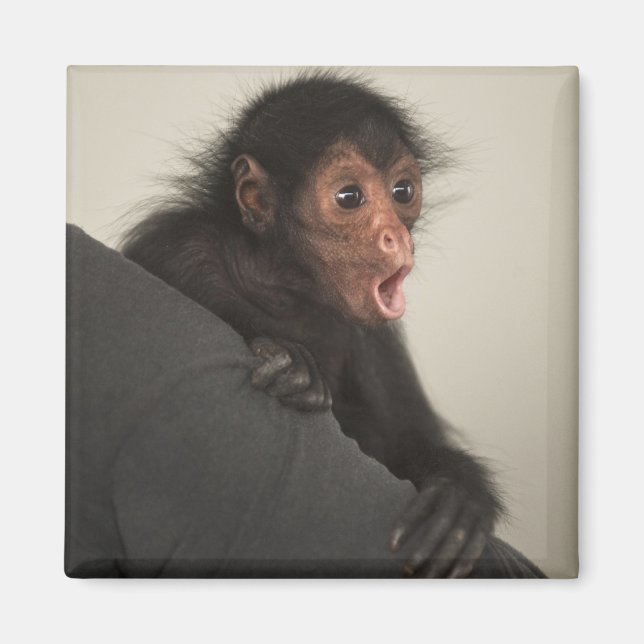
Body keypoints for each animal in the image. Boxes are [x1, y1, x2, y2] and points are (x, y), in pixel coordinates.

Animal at [120, 71, 544, 578]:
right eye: (349, 197)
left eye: (403, 192)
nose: (396, 236)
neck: (282, 289)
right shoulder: (180, 248)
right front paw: (292, 363)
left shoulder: (375, 338)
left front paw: (459, 493)